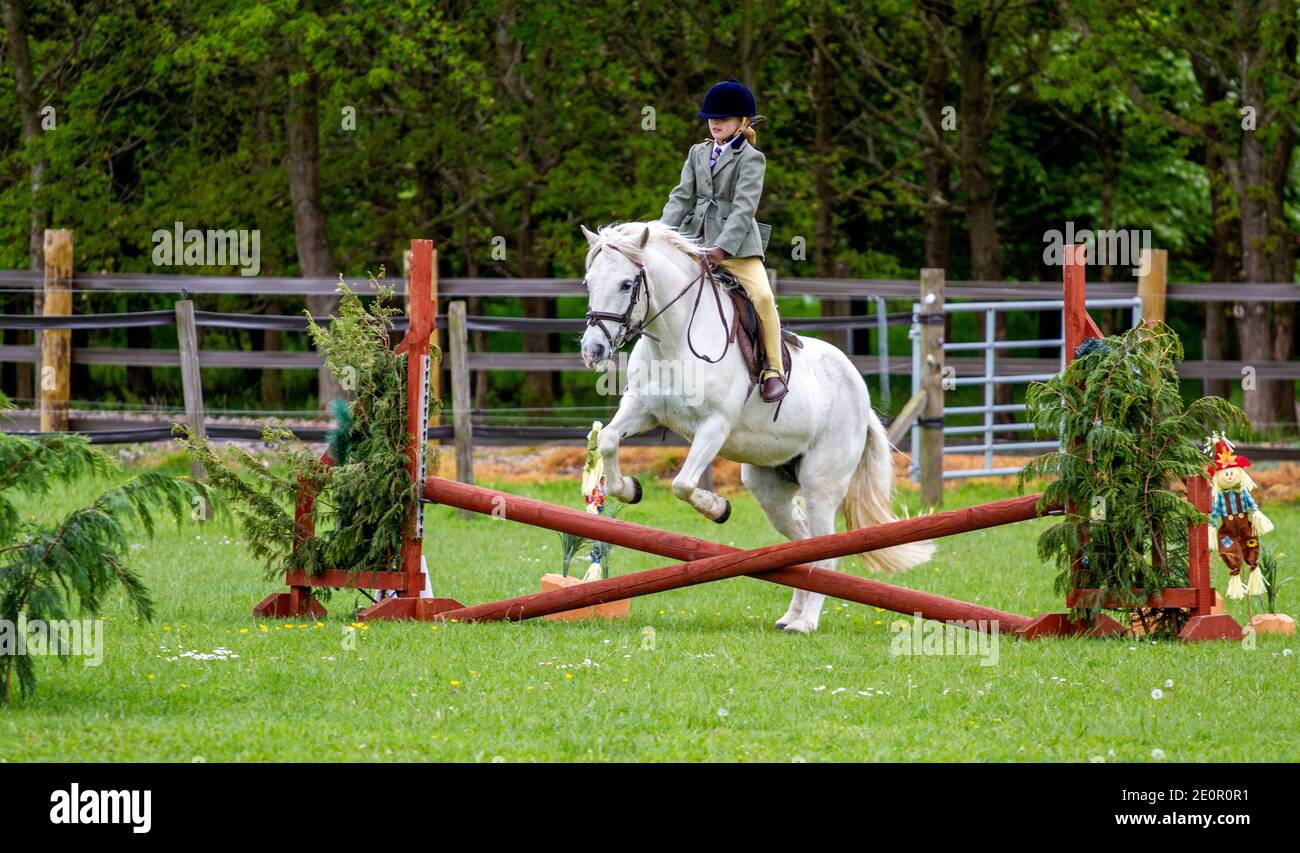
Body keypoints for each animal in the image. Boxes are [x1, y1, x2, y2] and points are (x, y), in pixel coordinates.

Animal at [579, 221, 935, 631]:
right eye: (589, 281)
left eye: (626, 284)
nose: (593, 351)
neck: (673, 342)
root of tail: (860, 393)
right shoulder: (641, 409)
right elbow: (608, 440)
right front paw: (629, 488)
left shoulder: (715, 426)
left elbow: (683, 484)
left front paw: (717, 507)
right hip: (769, 486)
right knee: (801, 542)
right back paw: (791, 615)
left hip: (821, 482)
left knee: (826, 550)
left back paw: (804, 622)